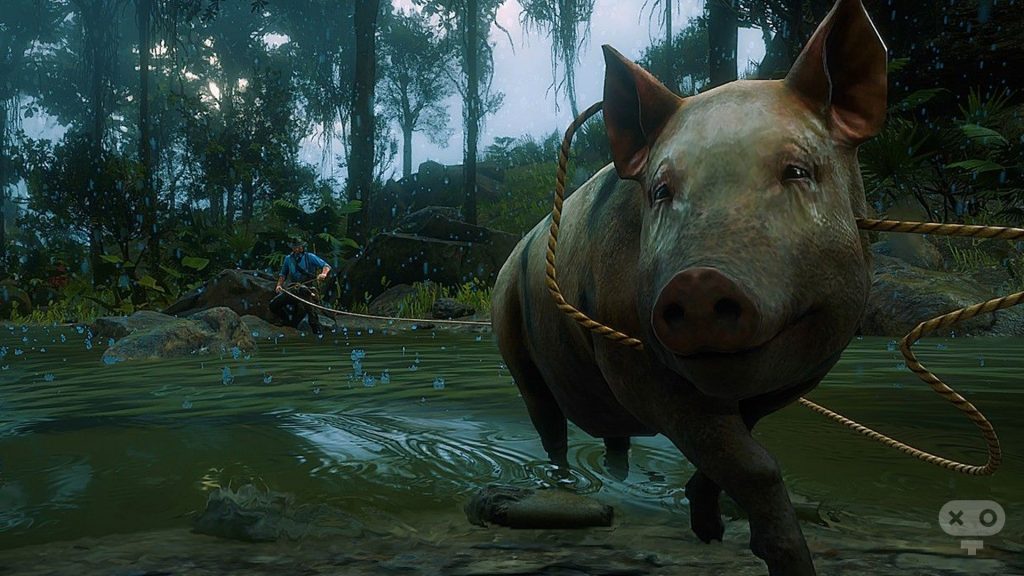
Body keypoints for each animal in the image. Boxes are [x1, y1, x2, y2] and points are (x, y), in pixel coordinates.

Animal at [490, 0, 886, 574]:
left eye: (797, 170)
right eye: (661, 190)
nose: (699, 280)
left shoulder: (803, 371)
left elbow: (740, 449)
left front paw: (710, 532)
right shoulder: (633, 364)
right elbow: (757, 464)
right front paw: (780, 557)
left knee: (607, 440)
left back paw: (617, 472)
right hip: (510, 336)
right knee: (548, 422)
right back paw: (567, 487)